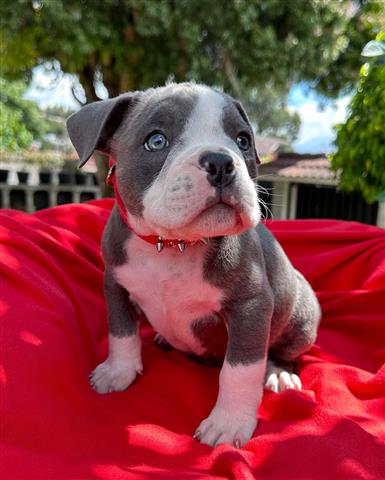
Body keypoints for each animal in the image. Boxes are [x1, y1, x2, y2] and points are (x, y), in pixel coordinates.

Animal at [67, 82, 320, 446]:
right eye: (156, 141)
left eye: (243, 140)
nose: (221, 161)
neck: (174, 245)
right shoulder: (115, 283)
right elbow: (121, 331)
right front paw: (119, 372)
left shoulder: (251, 306)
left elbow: (240, 369)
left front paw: (229, 423)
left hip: (301, 316)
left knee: (284, 350)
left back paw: (279, 373)